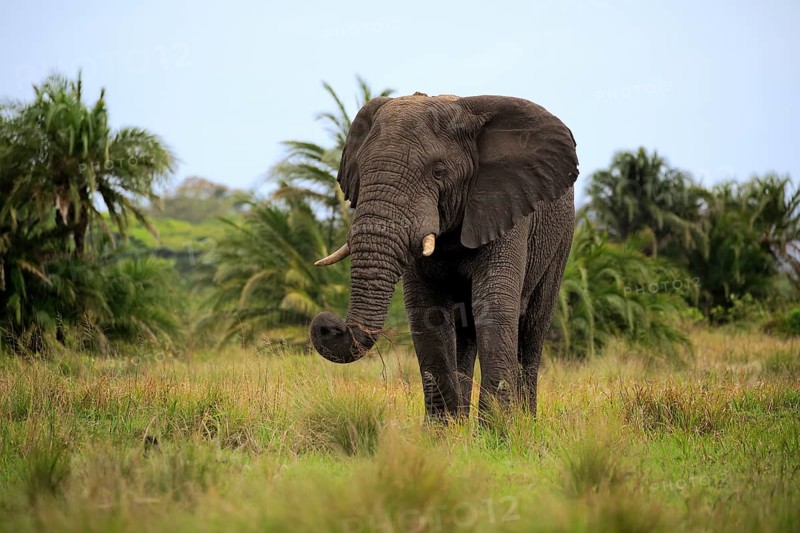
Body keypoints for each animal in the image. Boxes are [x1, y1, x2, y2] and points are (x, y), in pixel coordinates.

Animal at [309, 93, 578, 420]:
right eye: (362, 172)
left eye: (438, 172)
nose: (328, 323)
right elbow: (428, 312)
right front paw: (442, 430)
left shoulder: (506, 208)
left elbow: (494, 303)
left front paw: (496, 429)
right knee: (465, 330)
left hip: (561, 239)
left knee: (533, 328)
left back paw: (525, 419)